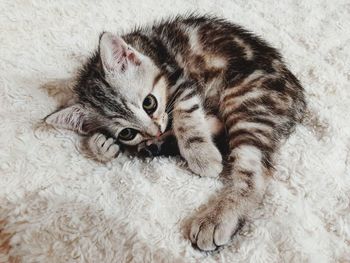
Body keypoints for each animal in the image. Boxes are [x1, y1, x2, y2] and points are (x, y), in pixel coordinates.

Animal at [45, 14, 304, 254]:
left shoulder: (179, 79)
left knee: (253, 175)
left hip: (247, 100)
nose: (155, 131)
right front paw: (100, 144)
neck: (147, 50)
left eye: (149, 103)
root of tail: (296, 92)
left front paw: (201, 155)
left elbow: (185, 115)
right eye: (127, 133)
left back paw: (216, 219)